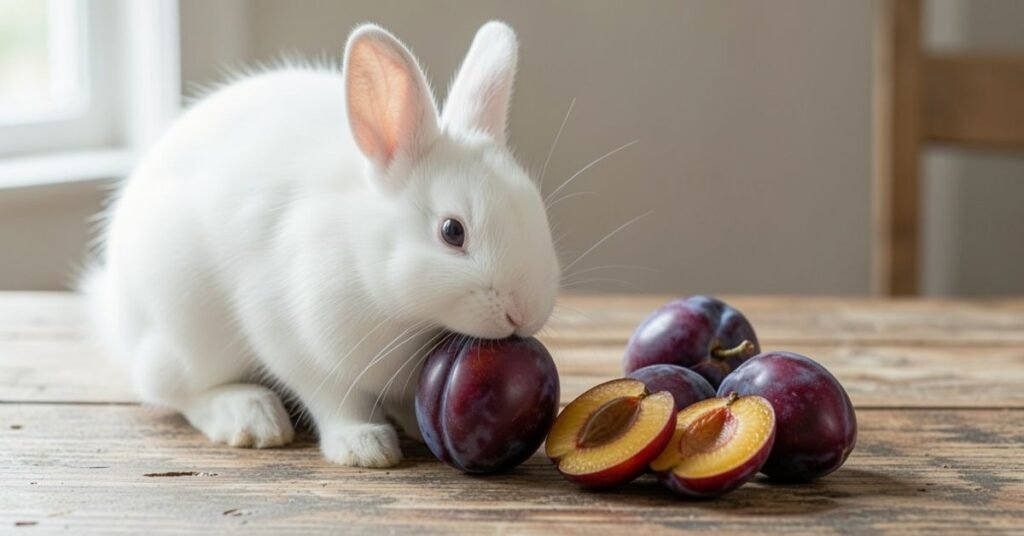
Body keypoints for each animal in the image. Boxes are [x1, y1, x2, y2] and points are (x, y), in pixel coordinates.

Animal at [81, 21, 560, 468]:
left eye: (536, 210)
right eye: (452, 231)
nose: (524, 313)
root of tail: (116, 312)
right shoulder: (296, 344)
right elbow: (334, 399)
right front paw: (364, 446)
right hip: (188, 331)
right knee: (170, 387)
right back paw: (250, 416)